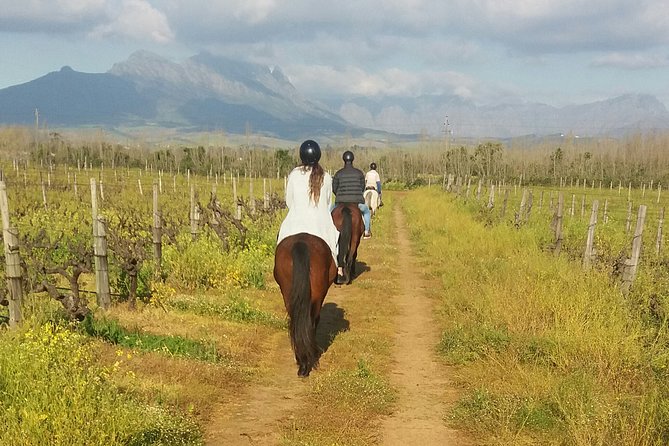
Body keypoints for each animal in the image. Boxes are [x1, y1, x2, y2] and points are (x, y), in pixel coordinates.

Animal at [272, 233, 336, 376]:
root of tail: (301, 243)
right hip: (317, 297)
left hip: (288, 294)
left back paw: (302, 361)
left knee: (296, 322)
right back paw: (307, 361)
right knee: (311, 322)